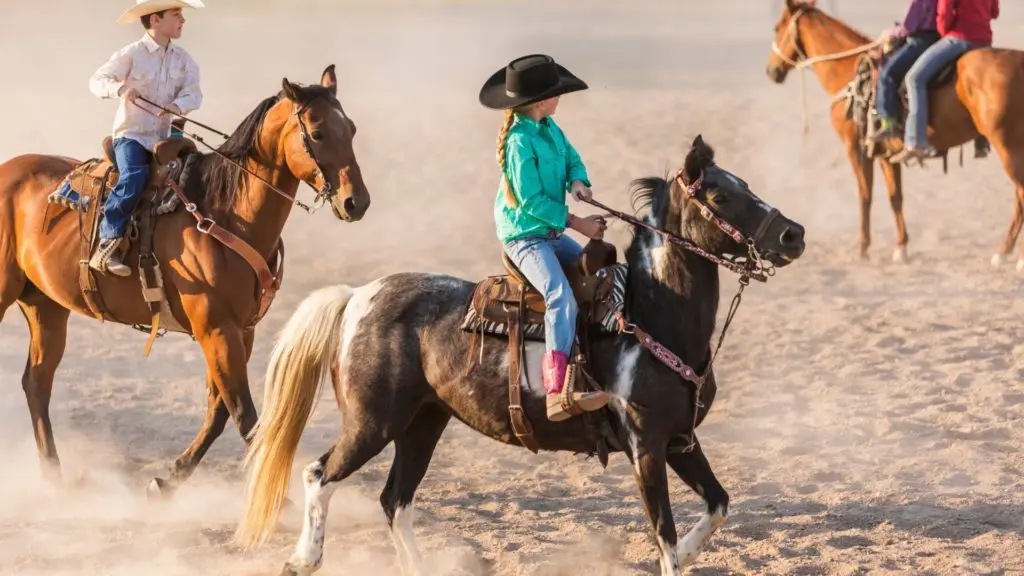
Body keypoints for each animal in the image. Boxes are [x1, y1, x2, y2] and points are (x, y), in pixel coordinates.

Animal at [0, 65, 370, 497]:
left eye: (352, 129)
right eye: (317, 133)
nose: (356, 202)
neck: (225, 213)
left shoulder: (239, 331)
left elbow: (219, 411)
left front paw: (169, 479)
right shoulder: (216, 329)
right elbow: (244, 414)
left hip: (46, 306)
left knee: (37, 382)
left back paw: (54, 476)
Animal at [233, 135, 806, 575]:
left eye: (745, 184)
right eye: (720, 195)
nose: (792, 233)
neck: (649, 316)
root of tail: (357, 297)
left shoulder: (681, 441)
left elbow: (718, 504)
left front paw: (690, 549)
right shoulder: (646, 448)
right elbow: (663, 536)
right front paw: (676, 551)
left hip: (424, 422)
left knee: (395, 500)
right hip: (372, 423)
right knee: (319, 475)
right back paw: (303, 558)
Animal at [765, 0, 1024, 266]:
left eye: (777, 28)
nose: (771, 70)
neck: (848, 73)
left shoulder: (856, 149)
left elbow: (865, 195)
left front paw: (863, 248)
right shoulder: (886, 155)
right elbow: (895, 197)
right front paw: (901, 247)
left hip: (1008, 147)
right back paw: (1004, 251)